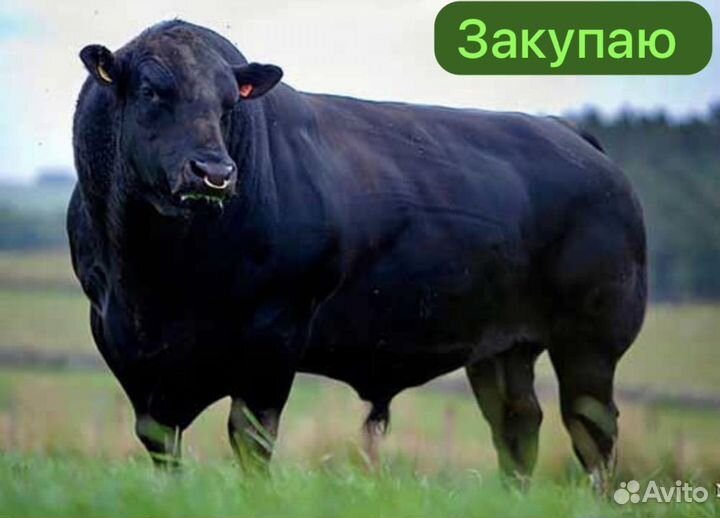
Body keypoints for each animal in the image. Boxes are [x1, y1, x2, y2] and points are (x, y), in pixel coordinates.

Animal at [68, 20, 647, 490]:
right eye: (151, 90)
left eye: (229, 103)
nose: (214, 172)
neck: (156, 279)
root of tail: (567, 131)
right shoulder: (120, 342)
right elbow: (160, 443)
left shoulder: (274, 337)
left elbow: (250, 439)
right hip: (501, 346)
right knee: (517, 424)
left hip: (592, 338)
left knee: (592, 429)